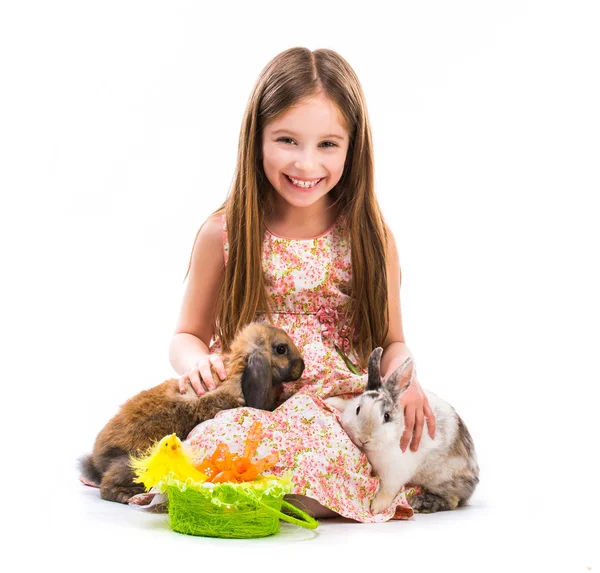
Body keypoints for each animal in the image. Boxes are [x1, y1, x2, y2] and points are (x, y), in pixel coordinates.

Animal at [79, 324, 304, 502]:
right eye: (281, 349)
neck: (241, 365)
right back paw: (127, 495)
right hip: (137, 462)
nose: (301, 367)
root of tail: (98, 460)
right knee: (108, 485)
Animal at [326, 346, 480, 516]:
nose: (364, 438)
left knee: (452, 500)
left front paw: (376, 507)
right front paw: (330, 401)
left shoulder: (395, 472)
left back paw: (420, 503)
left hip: (441, 479)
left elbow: (388, 490)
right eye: (358, 409)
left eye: (386, 416)